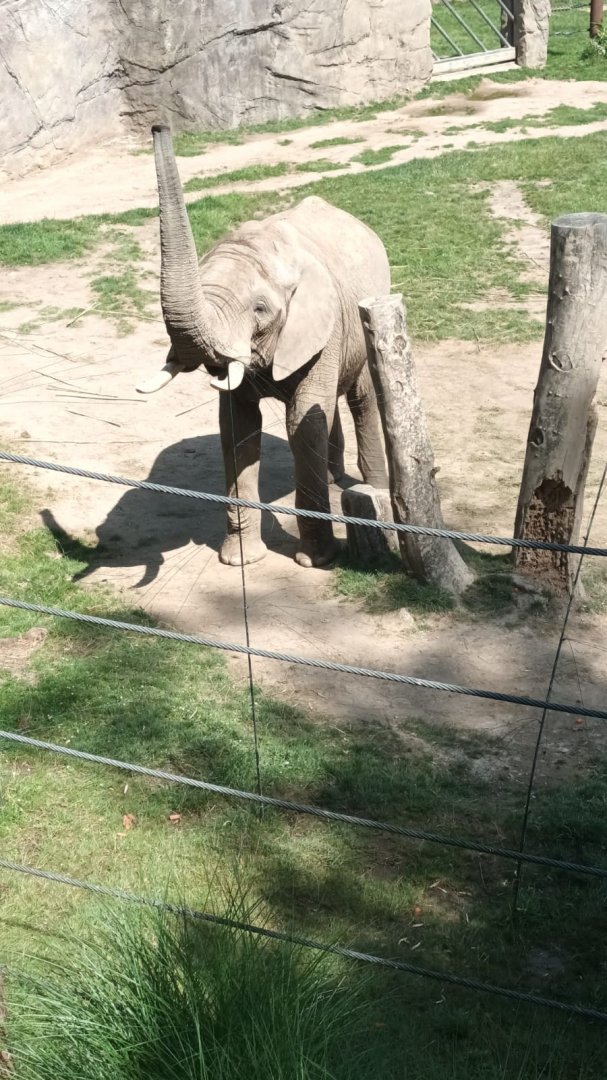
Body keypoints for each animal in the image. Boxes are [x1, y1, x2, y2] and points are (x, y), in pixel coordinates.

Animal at [137, 123, 390, 568]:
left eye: (260, 309)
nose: (158, 125)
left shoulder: (323, 327)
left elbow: (300, 420)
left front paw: (315, 561)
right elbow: (238, 426)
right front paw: (238, 562)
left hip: (364, 319)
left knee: (360, 399)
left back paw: (373, 491)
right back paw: (333, 479)